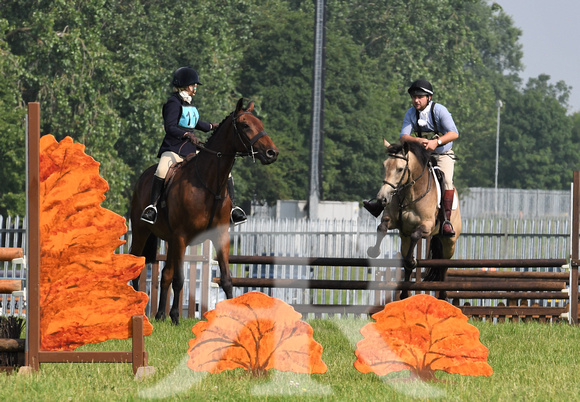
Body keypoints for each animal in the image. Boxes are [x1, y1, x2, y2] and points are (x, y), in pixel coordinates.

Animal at [130, 99, 278, 326]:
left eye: (260, 123)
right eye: (245, 125)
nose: (272, 153)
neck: (208, 183)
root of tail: (142, 179)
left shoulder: (220, 236)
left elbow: (226, 279)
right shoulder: (182, 237)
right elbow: (180, 279)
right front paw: (175, 316)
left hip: (170, 241)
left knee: (165, 273)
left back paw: (160, 314)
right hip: (141, 232)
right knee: (138, 269)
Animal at [368, 140, 462, 296]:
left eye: (400, 169)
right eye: (384, 165)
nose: (382, 198)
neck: (410, 194)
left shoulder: (427, 225)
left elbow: (416, 235)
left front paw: (412, 261)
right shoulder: (392, 220)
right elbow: (382, 228)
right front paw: (374, 251)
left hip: (449, 242)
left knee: (444, 265)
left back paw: (443, 293)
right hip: (404, 238)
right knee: (407, 264)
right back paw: (405, 294)